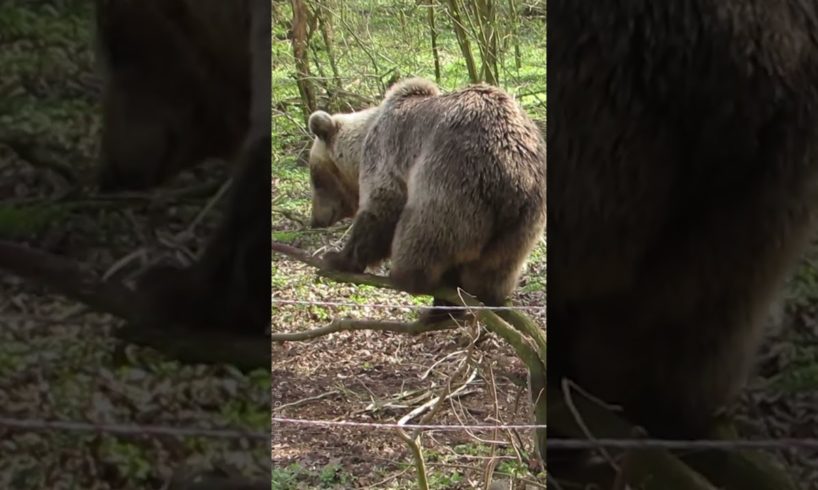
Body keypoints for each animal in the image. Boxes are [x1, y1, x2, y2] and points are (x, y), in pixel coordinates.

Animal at [302, 78, 544, 312]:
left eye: (316, 178)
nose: (315, 219)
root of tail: (515, 178)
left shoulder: (387, 152)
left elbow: (381, 207)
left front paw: (337, 258)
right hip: (521, 226)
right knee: (496, 268)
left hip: (454, 178)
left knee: (423, 230)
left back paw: (407, 278)